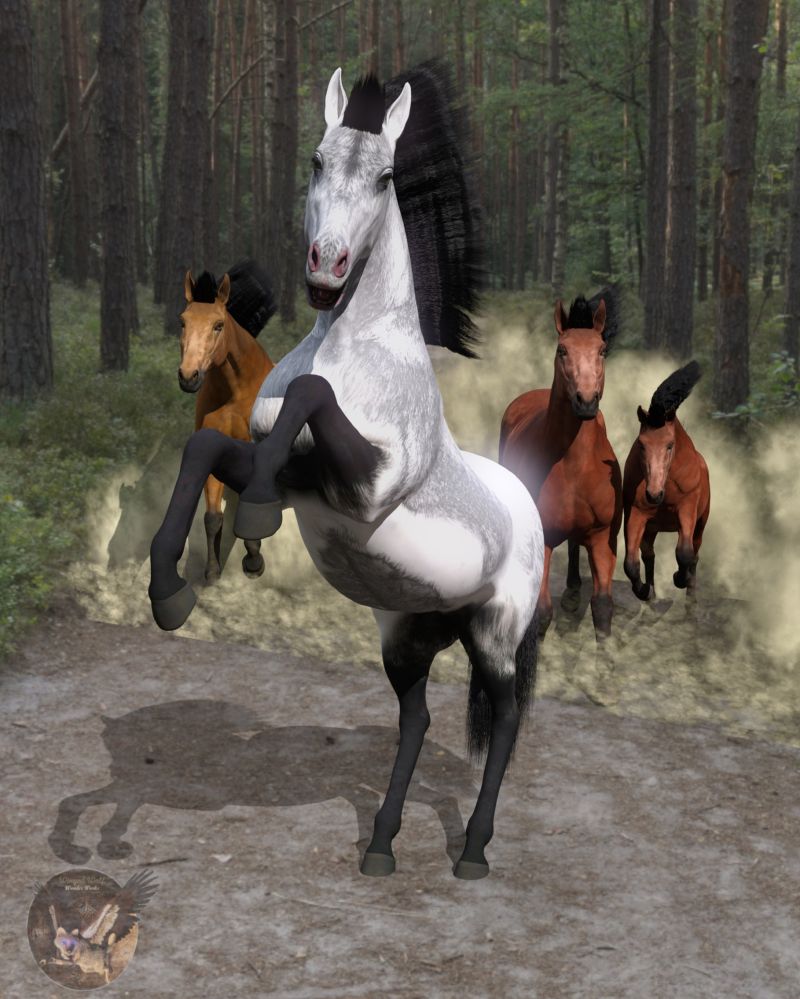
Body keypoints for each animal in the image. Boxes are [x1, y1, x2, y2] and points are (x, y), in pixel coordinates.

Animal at [178, 260, 275, 582]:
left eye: (218, 325)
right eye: (183, 322)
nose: (188, 376)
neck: (236, 392)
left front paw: (254, 562)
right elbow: (212, 517)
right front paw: (211, 571)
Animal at [499, 294, 622, 640]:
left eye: (602, 350)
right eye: (562, 350)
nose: (585, 401)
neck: (575, 464)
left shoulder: (603, 537)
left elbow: (603, 607)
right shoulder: (544, 539)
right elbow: (541, 613)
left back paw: (572, 591)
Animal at [622, 361, 710, 601]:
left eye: (670, 445)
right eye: (641, 444)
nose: (653, 494)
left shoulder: (687, 509)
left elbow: (685, 553)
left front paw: (679, 579)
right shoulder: (635, 514)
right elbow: (630, 563)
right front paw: (644, 591)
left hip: (700, 523)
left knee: (695, 554)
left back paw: (690, 597)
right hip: (651, 528)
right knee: (648, 555)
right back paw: (651, 593)